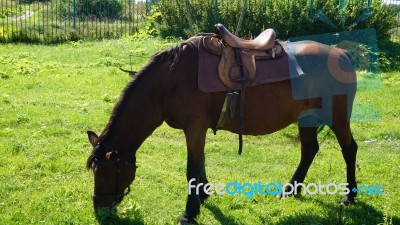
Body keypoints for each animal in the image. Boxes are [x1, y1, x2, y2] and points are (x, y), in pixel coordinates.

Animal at [86, 34, 358, 223]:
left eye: (107, 174)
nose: (99, 210)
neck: (170, 80)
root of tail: (342, 53)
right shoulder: (198, 129)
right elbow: (200, 164)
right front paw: (203, 195)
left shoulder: (195, 127)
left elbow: (192, 168)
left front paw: (189, 213)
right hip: (306, 118)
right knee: (309, 150)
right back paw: (291, 189)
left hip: (337, 119)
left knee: (349, 150)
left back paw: (349, 196)